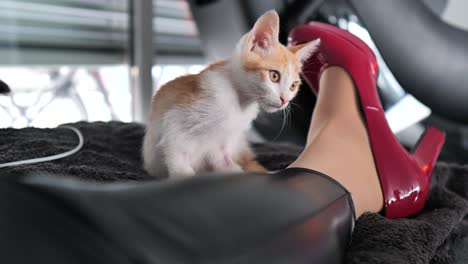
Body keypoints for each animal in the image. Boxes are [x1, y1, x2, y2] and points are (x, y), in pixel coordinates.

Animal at [142, 10, 318, 179]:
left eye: (293, 86)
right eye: (274, 76)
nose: (284, 100)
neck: (240, 101)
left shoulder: (223, 141)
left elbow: (222, 158)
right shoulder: (175, 121)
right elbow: (176, 151)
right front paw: (183, 175)